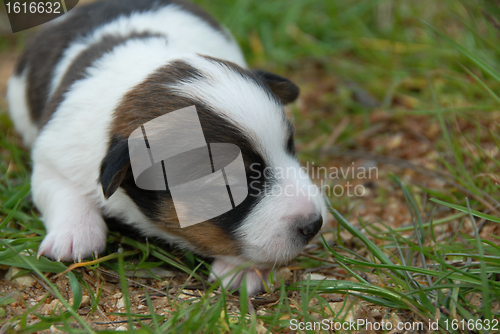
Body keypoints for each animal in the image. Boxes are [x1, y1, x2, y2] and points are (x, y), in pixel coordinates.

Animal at [8, 0, 328, 294]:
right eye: (231, 187)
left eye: (290, 147)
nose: (315, 224)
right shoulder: (52, 153)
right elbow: (60, 188)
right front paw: (75, 234)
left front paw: (244, 270)